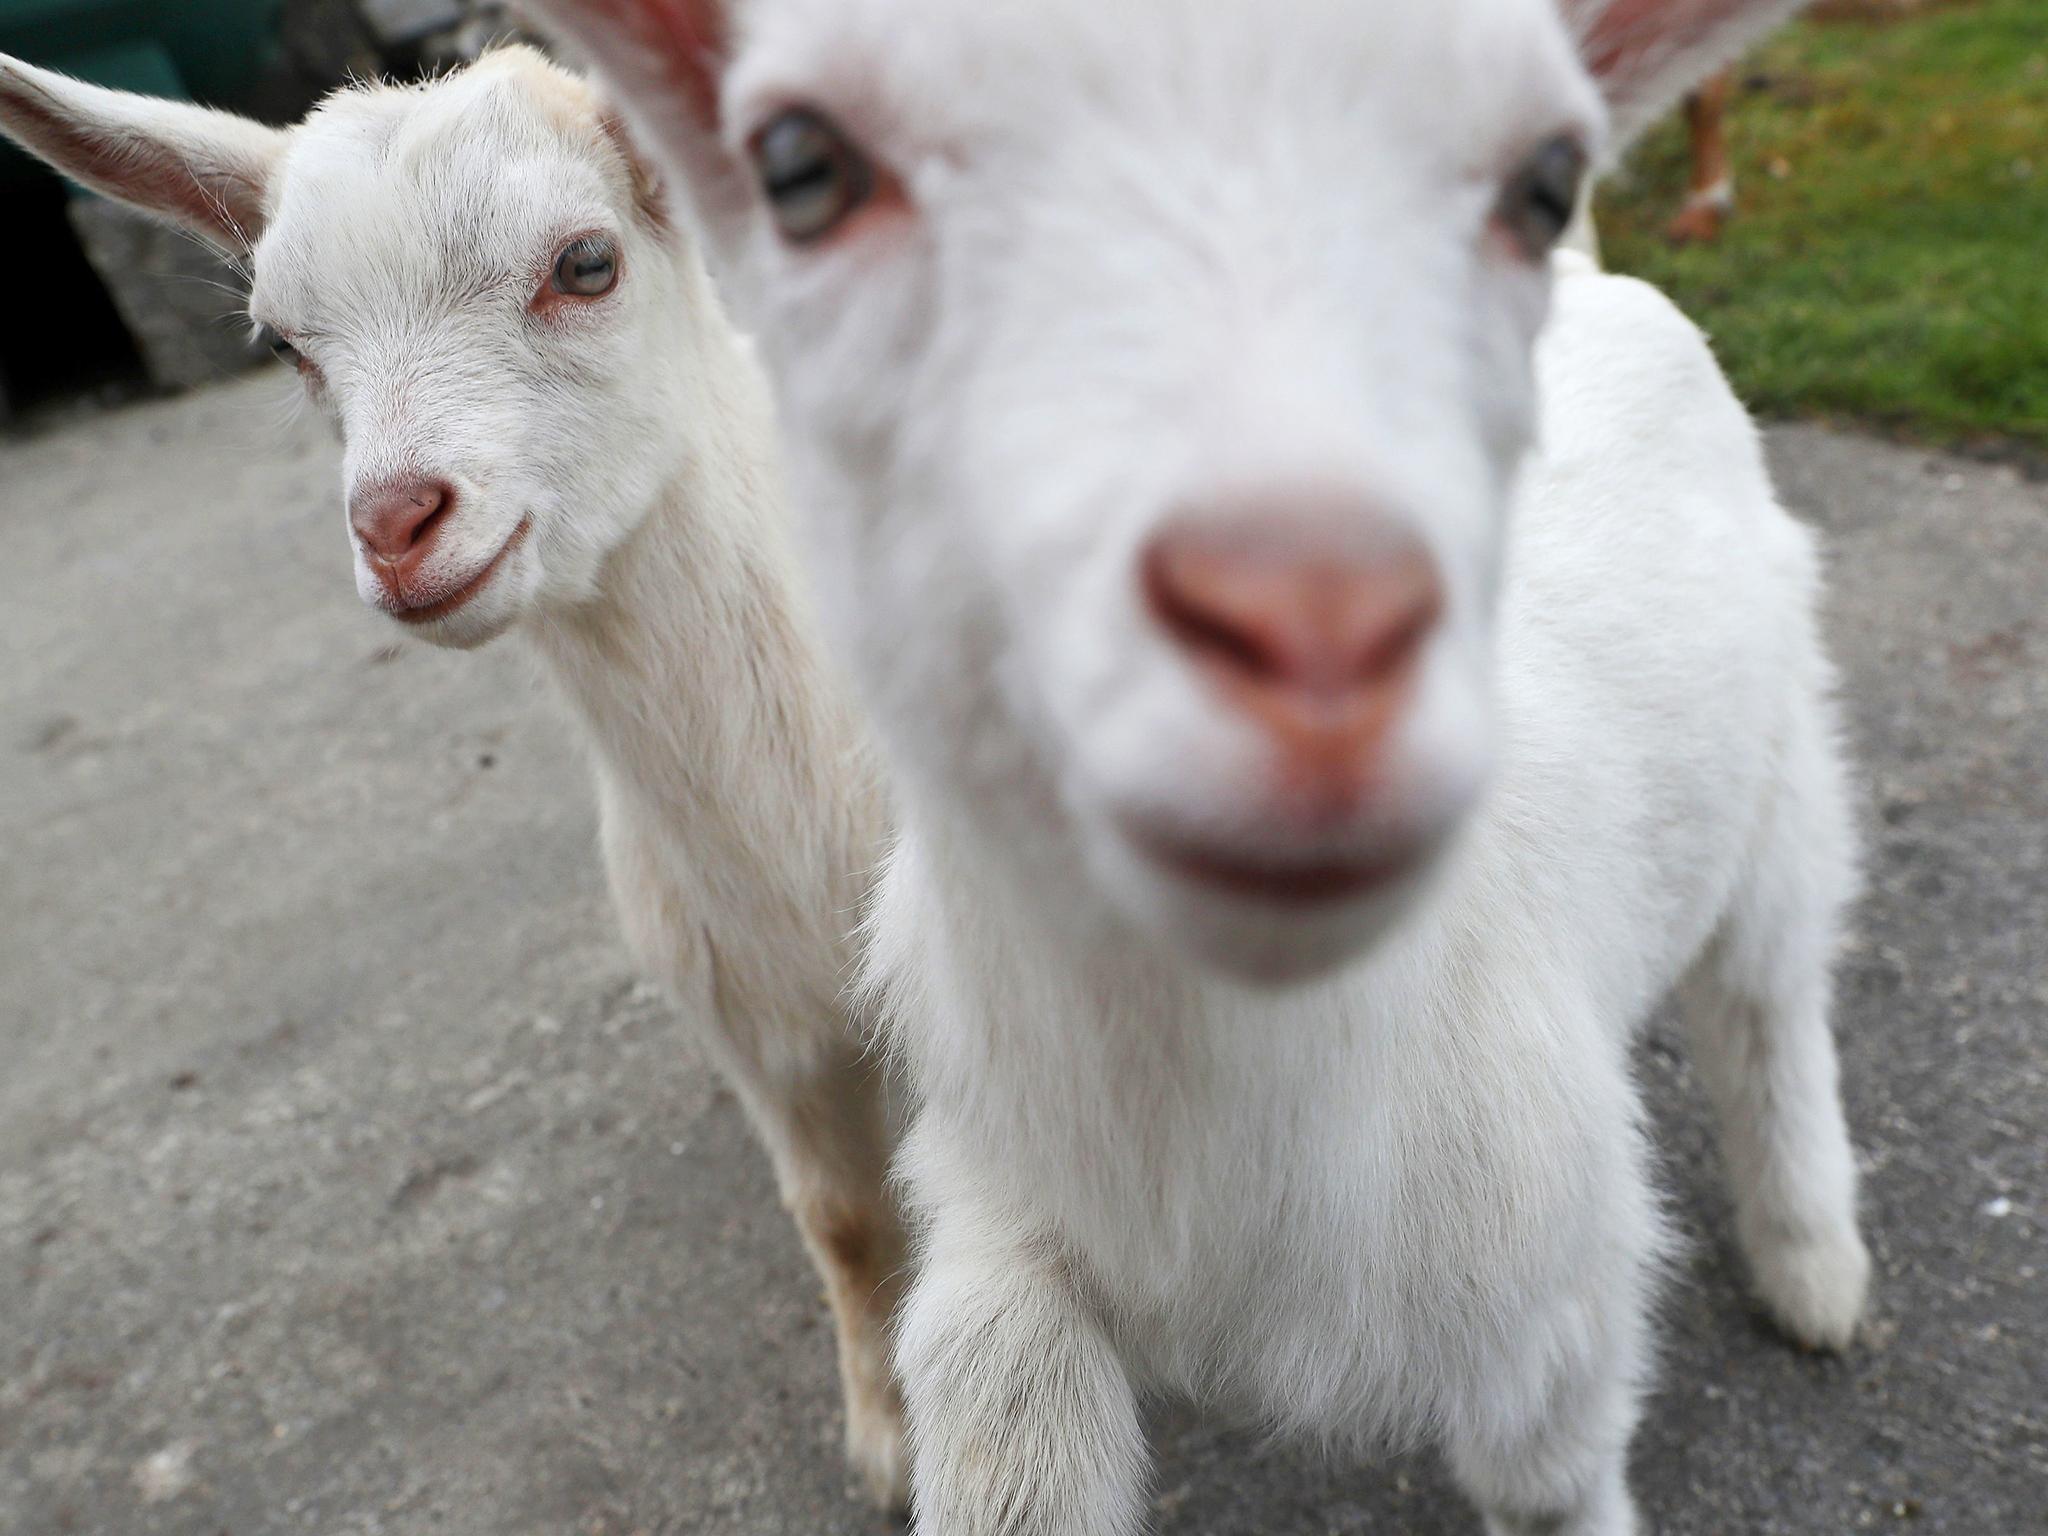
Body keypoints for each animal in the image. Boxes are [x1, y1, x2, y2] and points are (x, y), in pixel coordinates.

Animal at [528, 0, 1875, 1531]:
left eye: (1543, 179)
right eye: (801, 166)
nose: (1316, 624)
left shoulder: (1550, 1312)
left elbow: (1549, 1479)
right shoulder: (1003, 1204)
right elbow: (1000, 1419)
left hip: (1783, 770)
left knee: (1771, 1002)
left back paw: (1814, 1271)